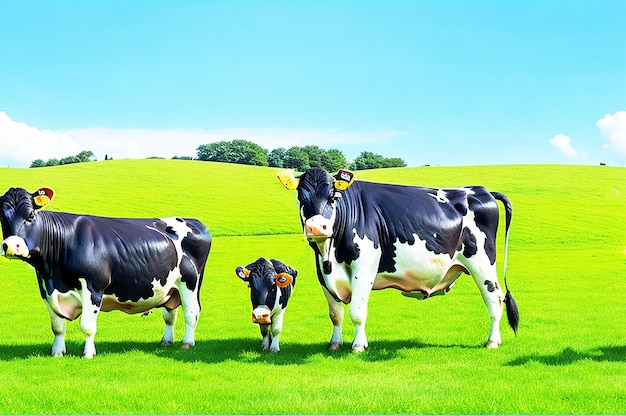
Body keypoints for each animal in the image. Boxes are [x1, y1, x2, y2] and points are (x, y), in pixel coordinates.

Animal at [0, 188, 212, 358]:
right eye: (1, 217)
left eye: (30, 215)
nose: (11, 246)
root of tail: (195, 222)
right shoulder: (46, 289)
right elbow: (57, 326)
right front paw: (57, 353)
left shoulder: (94, 287)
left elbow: (87, 326)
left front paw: (88, 354)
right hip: (170, 288)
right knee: (170, 314)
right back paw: (166, 341)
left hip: (191, 282)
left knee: (191, 312)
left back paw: (187, 343)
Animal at [278, 168, 516, 352]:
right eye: (301, 198)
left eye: (333, 196)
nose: (316, 227)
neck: (330, 255)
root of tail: (481, 190)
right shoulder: (323, 274)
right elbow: (335, 314)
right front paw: (334, 344)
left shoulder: (363, 269)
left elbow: (357, 311)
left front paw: (358, 345)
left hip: (482, 263)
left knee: (494, 298)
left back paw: (493, 341)